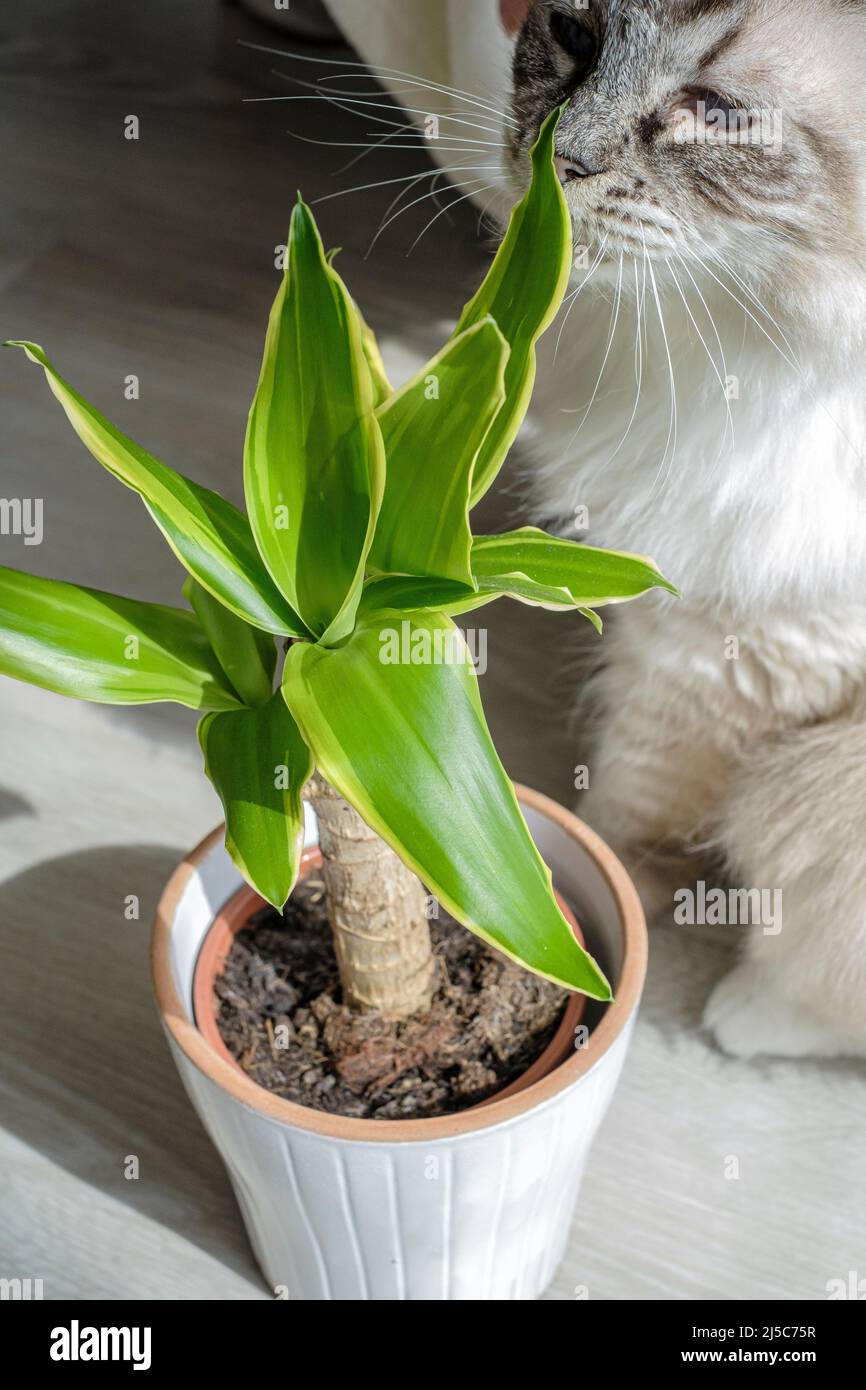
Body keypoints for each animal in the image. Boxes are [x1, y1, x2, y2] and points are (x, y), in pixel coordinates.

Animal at [497, 0, 866, 1056]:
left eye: (720, 114)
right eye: (574, 32)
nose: (558, 156)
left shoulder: (746, 640)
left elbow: (633, 801)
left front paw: (588, 898)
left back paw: (743, 1016)